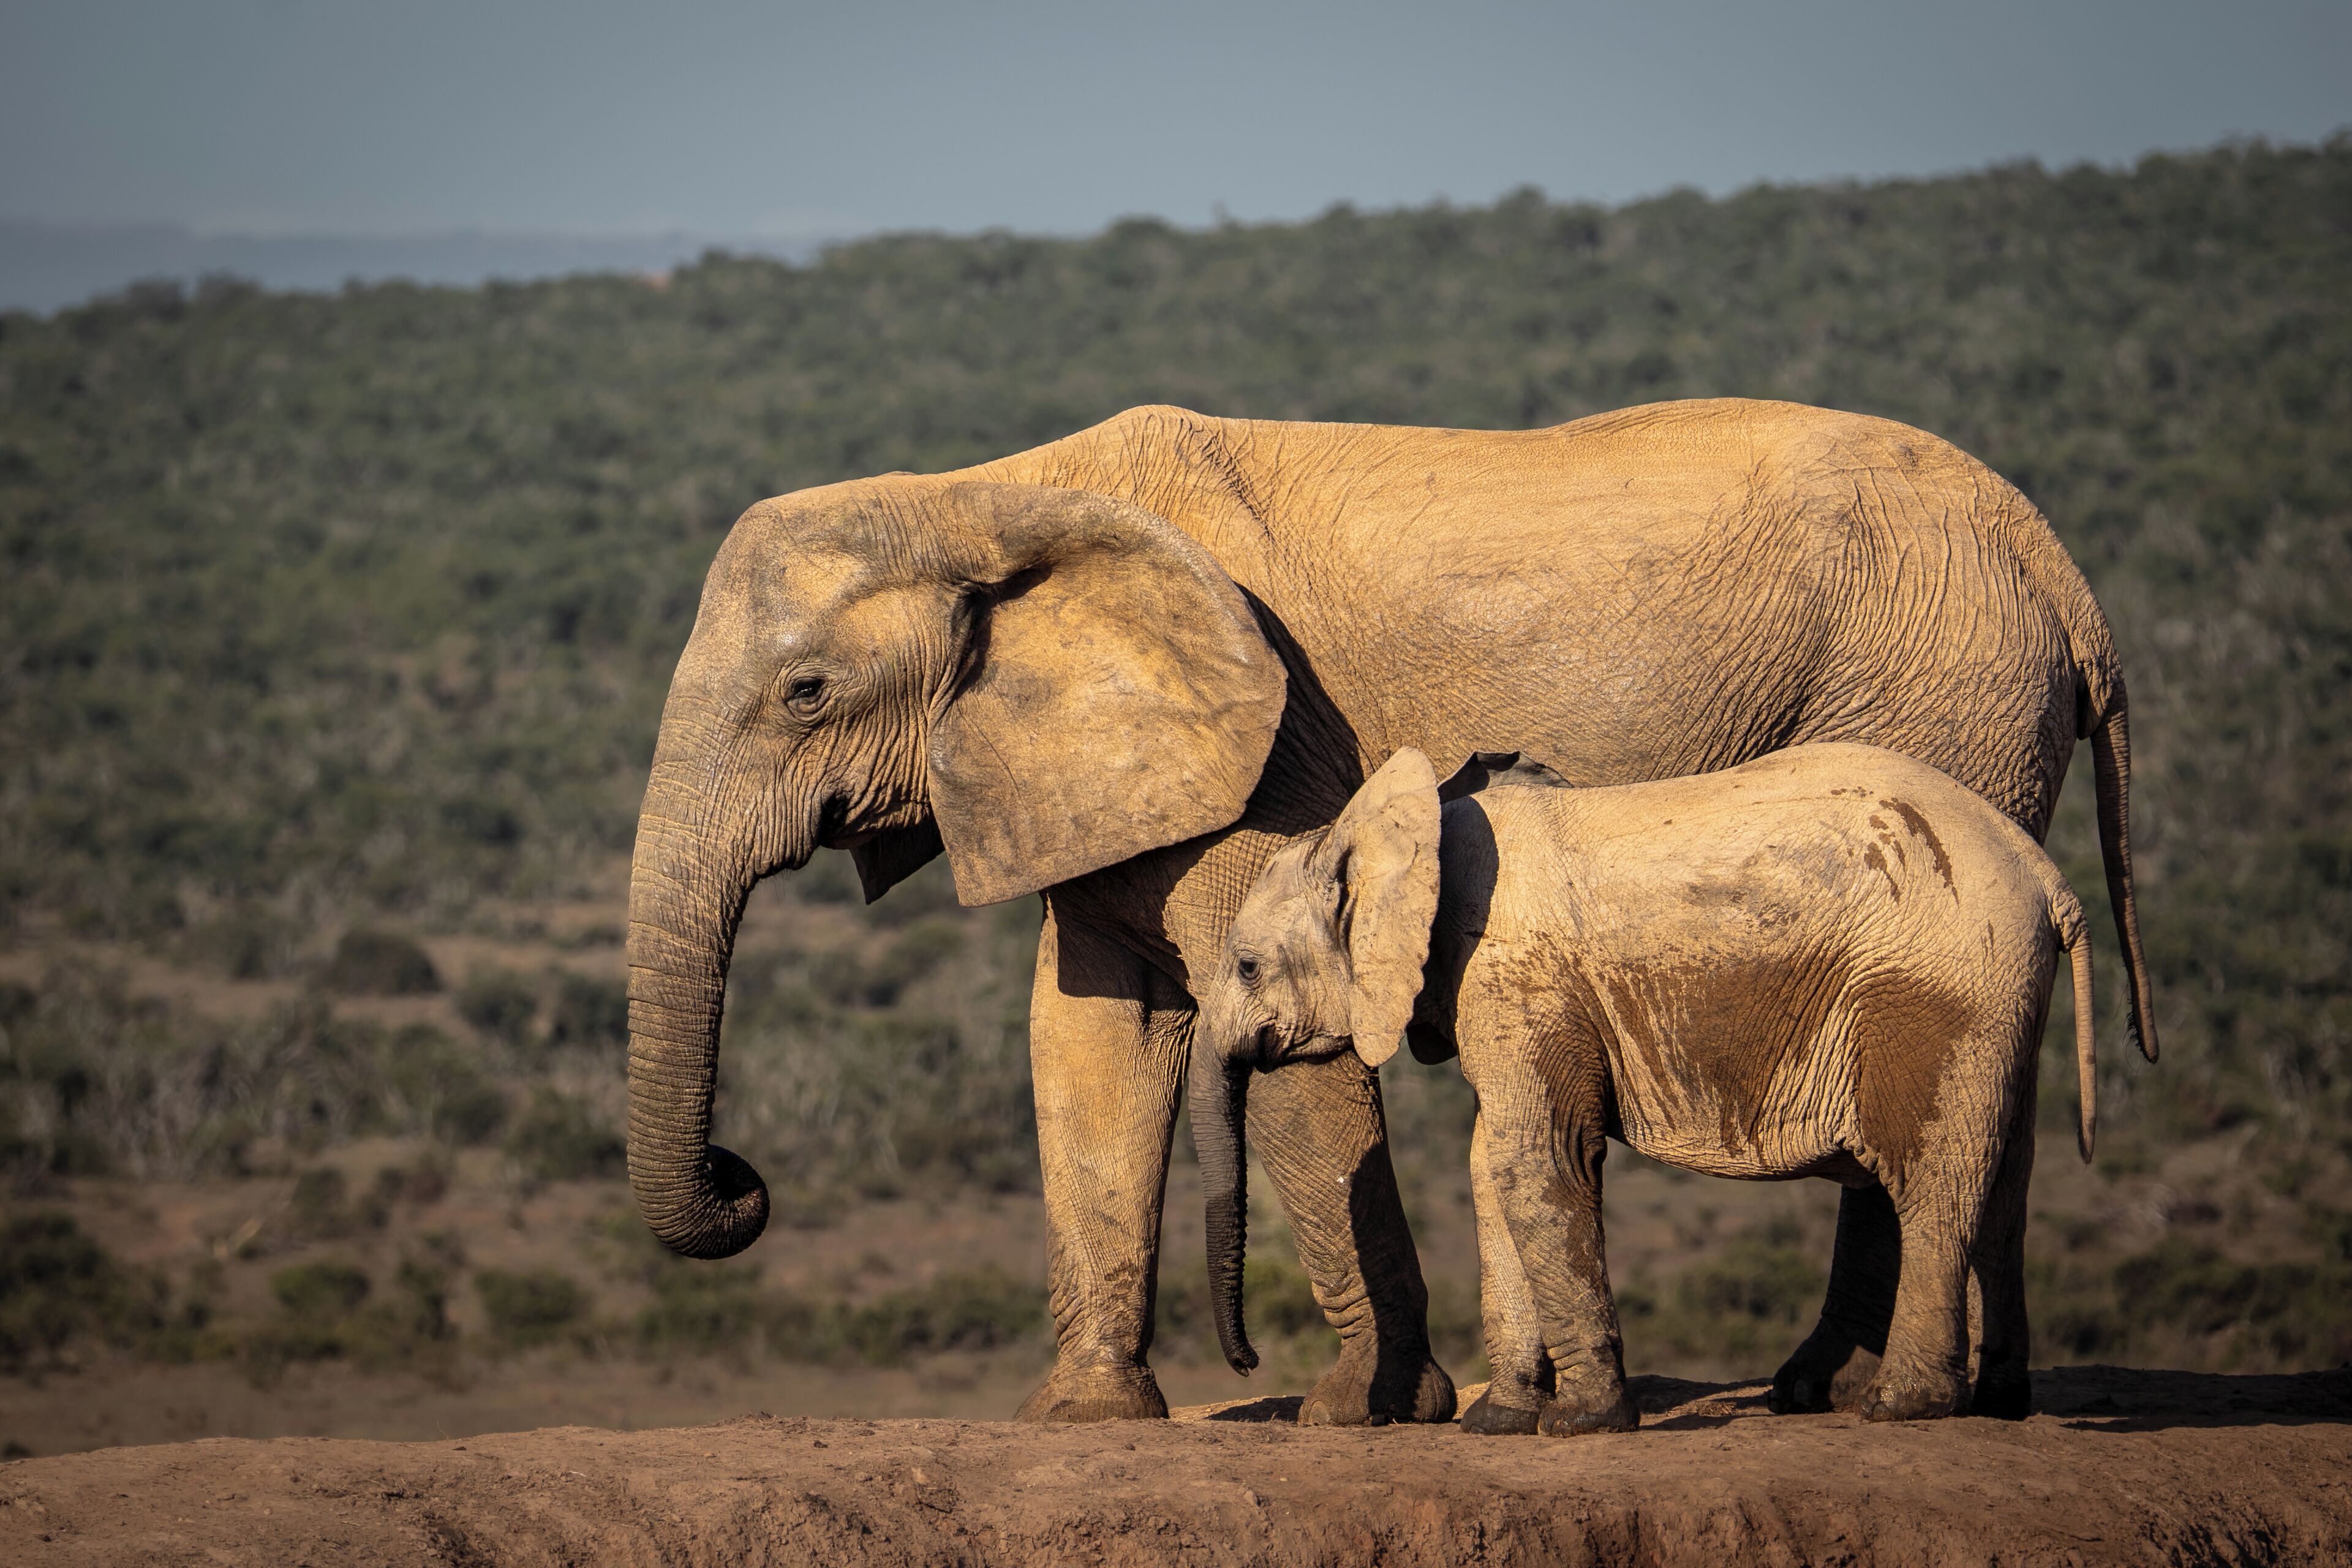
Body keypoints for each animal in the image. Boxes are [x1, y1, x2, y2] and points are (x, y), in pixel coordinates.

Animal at [1188, 743, 2098, 1433]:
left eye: (1247, 966)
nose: (1248, 1364)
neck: (1402, 830)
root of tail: (2046, 875)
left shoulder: (1515, 976)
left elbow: (1536, 1159)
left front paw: (1580, 1424)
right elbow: (1492, 1169)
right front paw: (1501, 1423)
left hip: (1935, 988)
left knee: (1930, 1180)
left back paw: (1902, 1406)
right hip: (1999, 997)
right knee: (2004, 1179)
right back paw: (2001, 1403)